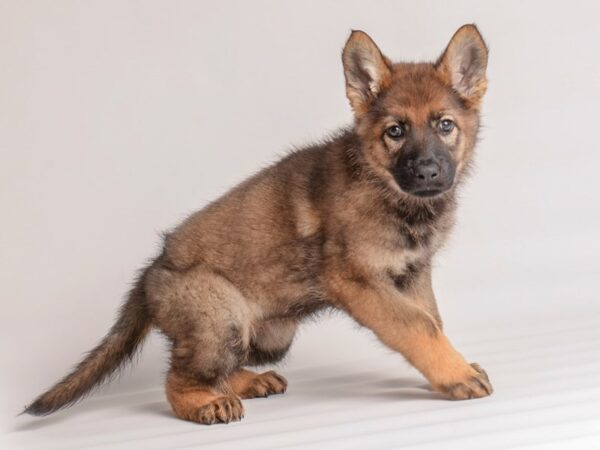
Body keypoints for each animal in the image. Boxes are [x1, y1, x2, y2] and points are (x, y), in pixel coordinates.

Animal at [24, 25, 492, 426]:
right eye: (395, 131)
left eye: (445, 125)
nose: (428, 172)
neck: (389, 192)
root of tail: (150, 273)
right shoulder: (357, 280)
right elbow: (418, 326)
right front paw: (456, 374)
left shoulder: (413, 273)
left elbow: (432, 320)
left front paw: (453, 366)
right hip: (221, 316)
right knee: (179, 378)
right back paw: (206, 404)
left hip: (270, 338)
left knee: (215, 367)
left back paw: (247, 382)